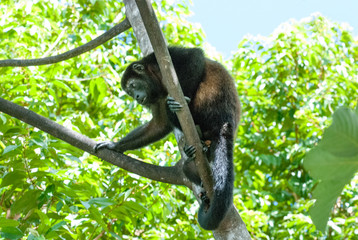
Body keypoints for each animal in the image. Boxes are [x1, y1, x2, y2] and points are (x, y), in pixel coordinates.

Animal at [94, 47, 241, 231]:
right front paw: (115, 145)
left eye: (133, 86)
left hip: (211, 107)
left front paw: (182, 99)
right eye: (130, 93)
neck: (156, 79)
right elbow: (159, 125)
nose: (137, 98)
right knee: (187, 167)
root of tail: (225, 125)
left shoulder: (161, 58)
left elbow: (195, 56)